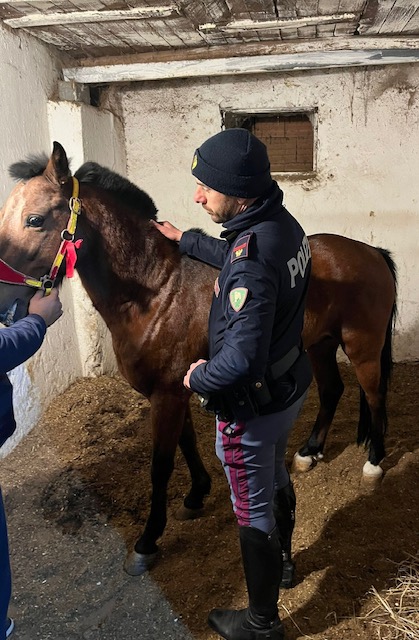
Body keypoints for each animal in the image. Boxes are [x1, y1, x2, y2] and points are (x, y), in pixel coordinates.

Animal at [0, 144, 398, 576]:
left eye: (35, 219)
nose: (4, 298)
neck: (157, 291)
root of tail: (371, 251)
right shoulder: (175, 390)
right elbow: (187, 443)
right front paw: (195, 496)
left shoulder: (168, 395)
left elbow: (160, 466)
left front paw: (147, 541)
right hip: (320, 346)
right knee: (332, 391)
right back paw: (309, 453)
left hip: (362, 347)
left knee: (375, 397)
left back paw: (374, 464)